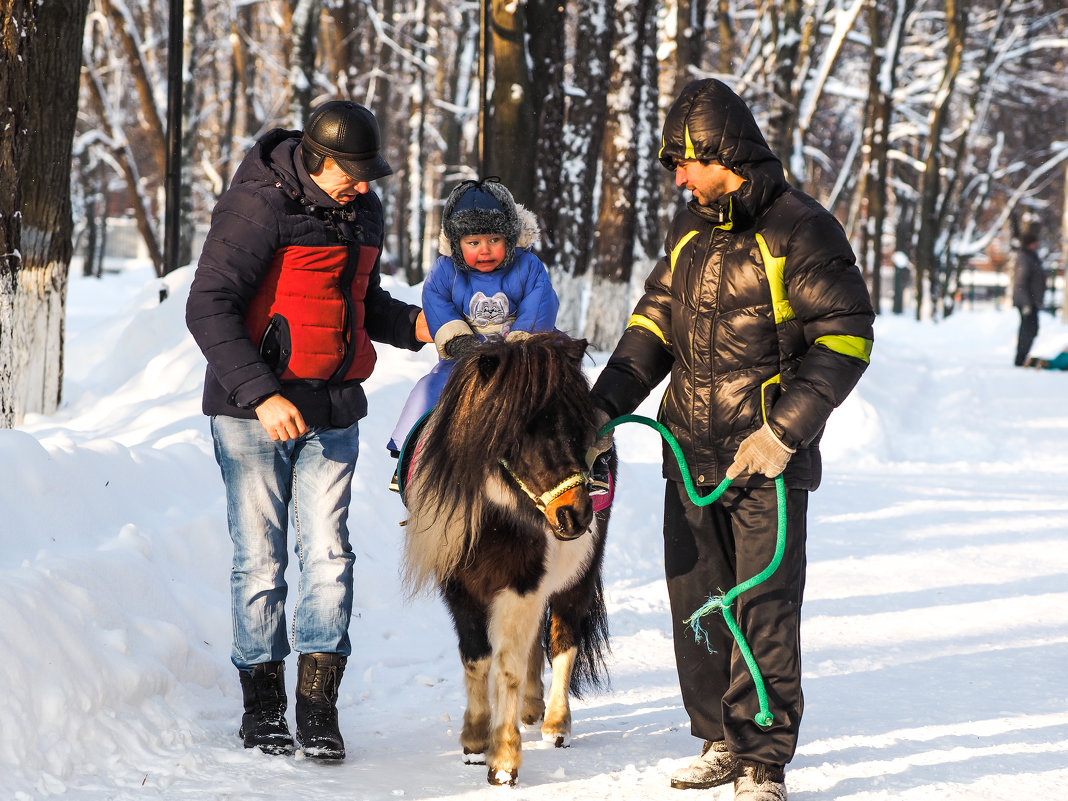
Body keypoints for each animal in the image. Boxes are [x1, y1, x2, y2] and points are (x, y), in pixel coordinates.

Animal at [401, 333, 615, 790]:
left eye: (576, 426)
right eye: (520, 430)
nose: (576, 515)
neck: (495, 515)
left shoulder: (522, 584)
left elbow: (508, 668)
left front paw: (503, 760)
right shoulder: (459, 588)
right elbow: (476, 657)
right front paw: (475, 739)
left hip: (578, 578)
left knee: (563, 638)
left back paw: (556, 724)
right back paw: (532, 709)